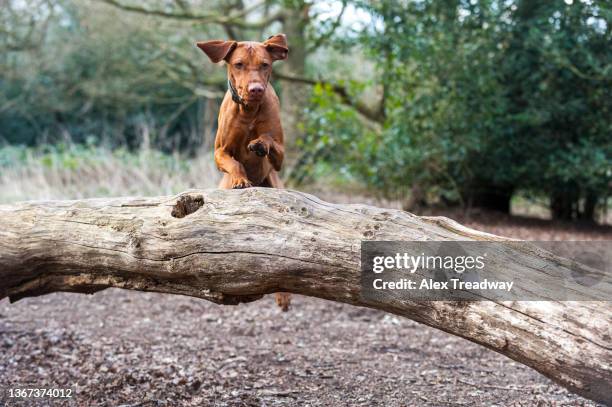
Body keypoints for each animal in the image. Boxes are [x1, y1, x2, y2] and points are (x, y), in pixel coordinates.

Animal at [197, 34, 290, 312]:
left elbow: (268, 141)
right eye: (238, 64)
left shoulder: (280, 155)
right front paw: (240, 179)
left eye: (265, 65)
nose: (256, 89)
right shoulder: (219, 152)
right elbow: (234, 162)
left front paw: (259, 144)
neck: (249, 110)